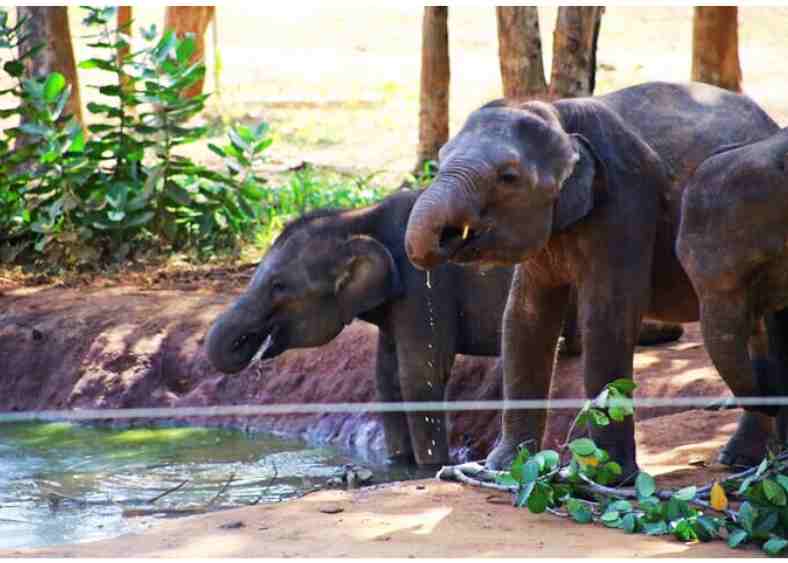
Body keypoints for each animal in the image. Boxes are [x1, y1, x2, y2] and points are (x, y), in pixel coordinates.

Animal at [204, 189, 684, 467]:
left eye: (279, 286)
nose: (252, 348)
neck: (357, 217)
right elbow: (387, 377)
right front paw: (398, 463)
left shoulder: (423, 284)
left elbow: (421, 375)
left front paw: (429, 468)